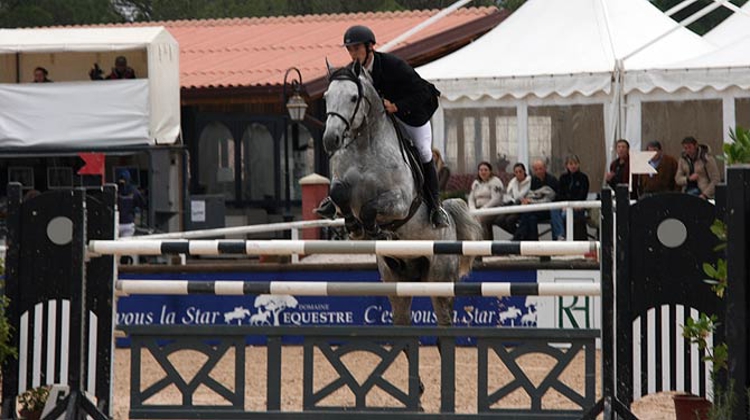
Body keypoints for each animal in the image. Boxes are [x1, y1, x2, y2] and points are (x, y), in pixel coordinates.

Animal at [322, 62, 484, 326]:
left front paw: (373, 230)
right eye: (326, 97)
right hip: (394, 276)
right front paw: (354, 226)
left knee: (444, 317)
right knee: (401, 316)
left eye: (353, 97)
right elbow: (339, 194)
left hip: (440, 278)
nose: (330, 140)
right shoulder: (343, 189)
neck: (365, 146)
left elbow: (370, 208)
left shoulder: (400, 203)